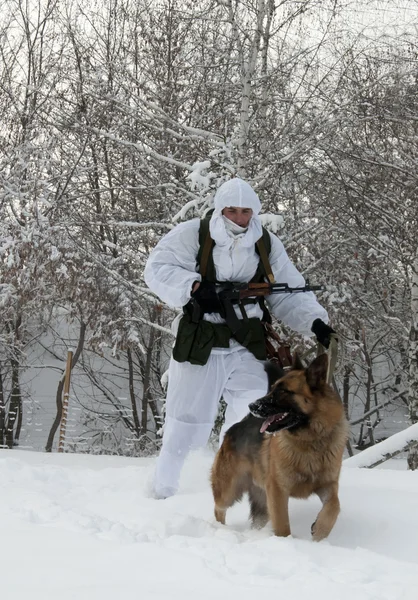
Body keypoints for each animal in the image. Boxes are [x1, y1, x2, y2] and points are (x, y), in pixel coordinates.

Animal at [211, 354, 348, 540]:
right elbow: (283, 524)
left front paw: (320, 531)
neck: (310, 441)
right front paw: (286, 542)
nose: (251, 406)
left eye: (283, 391)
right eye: (272, 389)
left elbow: (334, 506)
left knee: (257, 520)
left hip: (262, 502)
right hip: (229, 491)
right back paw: (220, 530)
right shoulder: (278, 491)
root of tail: (240, 423)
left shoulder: (328, 485)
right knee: (219, 509)